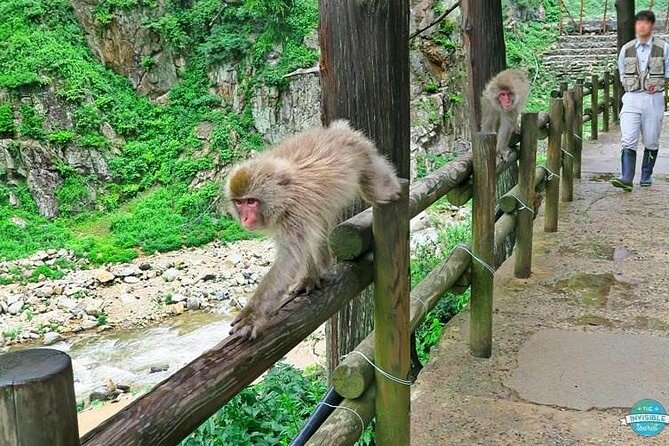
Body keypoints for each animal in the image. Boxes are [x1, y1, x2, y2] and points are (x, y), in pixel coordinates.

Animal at [225, 120, 401, 340]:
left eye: (251, 201)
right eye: (239, 203)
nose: (245, 218)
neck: (282, 197)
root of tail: (339, 130)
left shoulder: (294, 213)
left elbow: (289, 259)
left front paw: (252, 316)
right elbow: (302, 245)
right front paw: (309, 278)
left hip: (364, 157)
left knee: (375, 191)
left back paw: (395, 190)